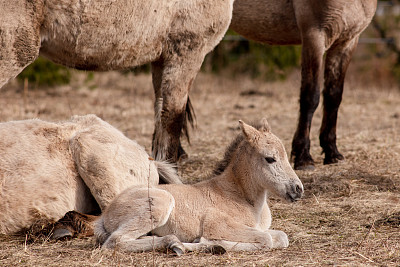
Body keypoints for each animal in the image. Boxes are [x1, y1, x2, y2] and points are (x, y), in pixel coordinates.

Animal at [230, 0, 376, 171]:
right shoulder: (314, 36)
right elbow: (310, 97)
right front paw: (303, 157)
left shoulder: (346, 42)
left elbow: (333, 97)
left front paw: (332, 153)